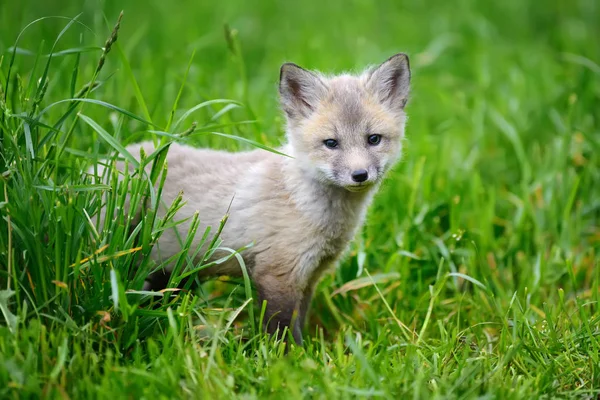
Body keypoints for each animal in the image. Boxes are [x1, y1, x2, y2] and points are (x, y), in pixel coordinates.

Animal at [101, 54, 410, 344]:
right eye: (331, 143)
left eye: (373, 139)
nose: (360, 175)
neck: (303, 204)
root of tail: (105, 160)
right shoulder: (277, 274)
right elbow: (282, 332)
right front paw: (290, 360)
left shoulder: (309, 275)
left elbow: (299, 321)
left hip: (169, 273)